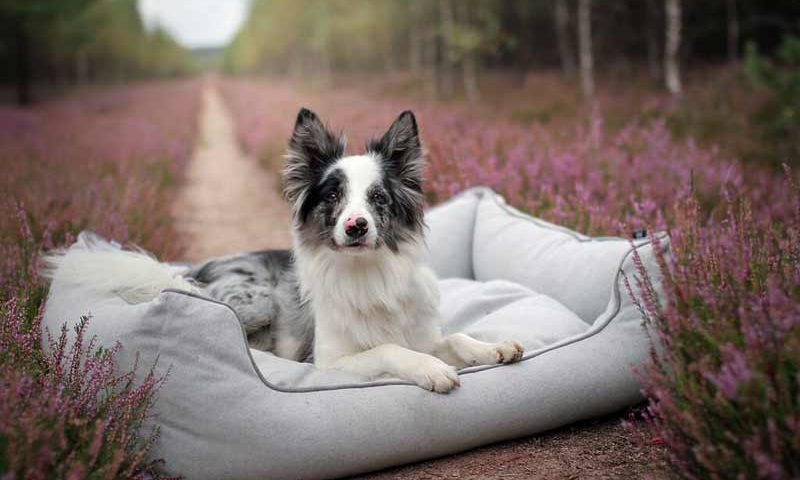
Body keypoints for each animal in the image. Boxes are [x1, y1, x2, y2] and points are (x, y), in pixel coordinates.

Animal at [43, 109, 520, 394]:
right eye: (333, 196)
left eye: (378, 198)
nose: (356, 225)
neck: (366, 272)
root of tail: (193, 272)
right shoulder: (329, 361)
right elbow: (389, 349)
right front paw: (431, 370)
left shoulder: (422, 333)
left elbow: (453, 337)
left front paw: (492, 349)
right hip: (257, 299)